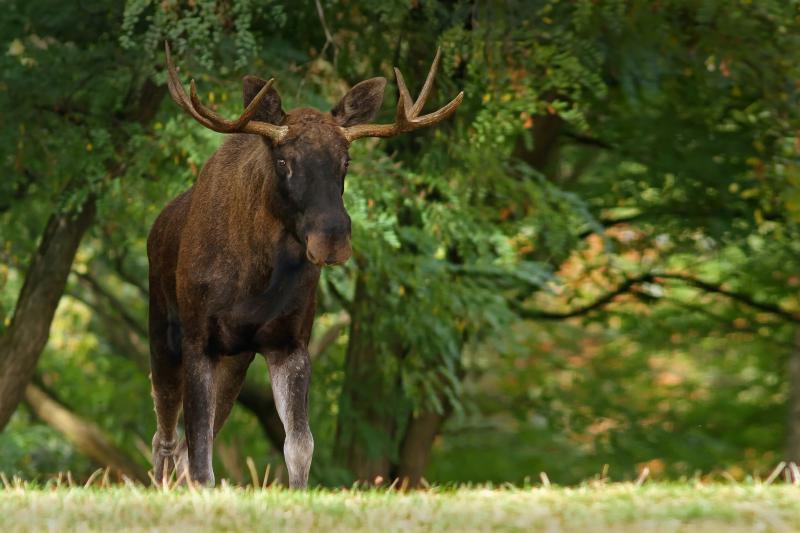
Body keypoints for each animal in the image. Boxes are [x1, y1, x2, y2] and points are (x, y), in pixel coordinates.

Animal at [148, 43, 466, 488]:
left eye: (345, 161)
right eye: (284, 161)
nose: (332, 237)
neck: (256, 281)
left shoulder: (290, 343)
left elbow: (300, 445)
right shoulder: (199, 340)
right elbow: (201, 456)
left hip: (235, 360)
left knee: (183, 443)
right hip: (164, 331)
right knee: (164, 438)